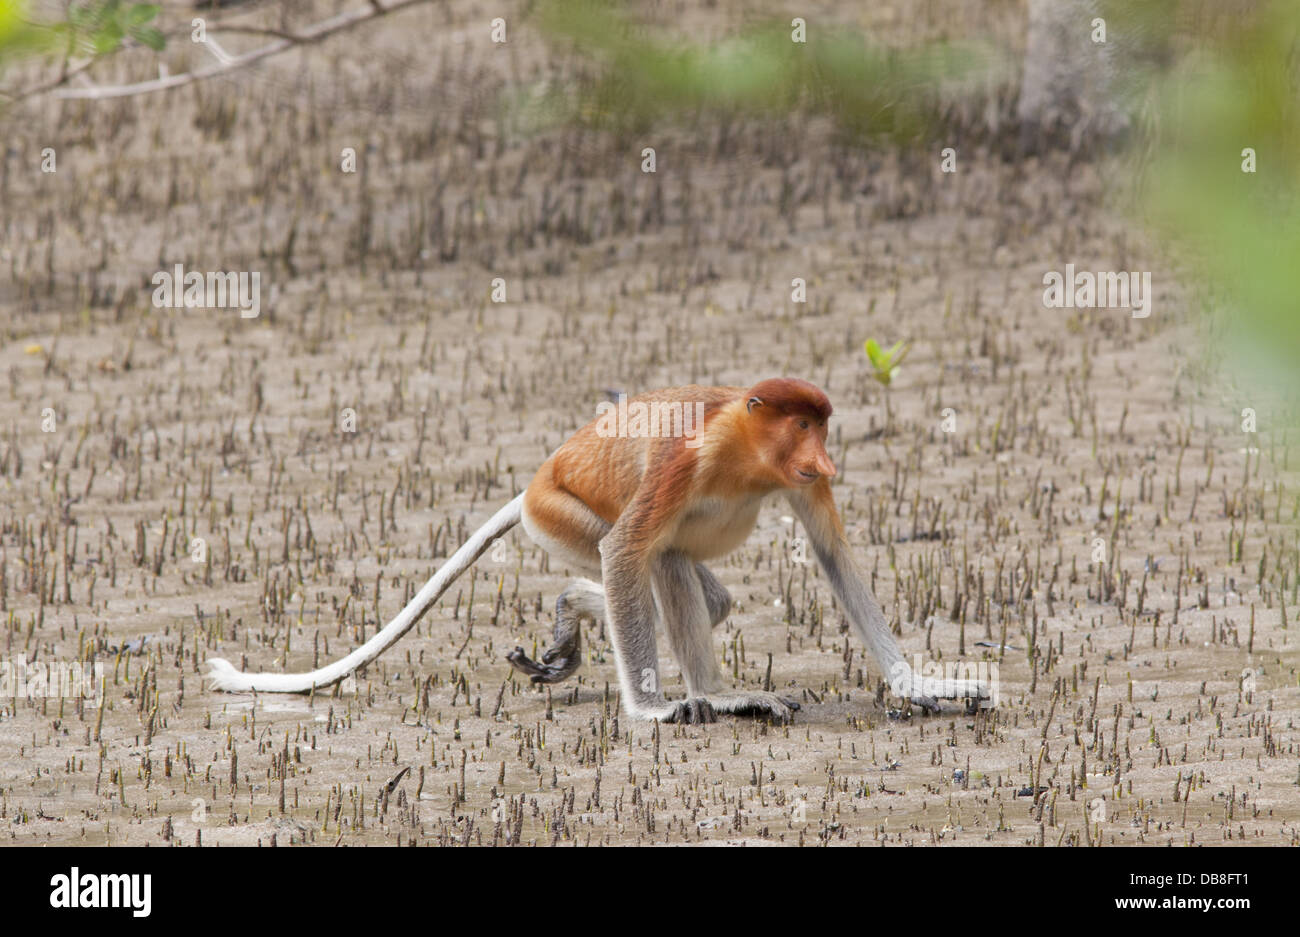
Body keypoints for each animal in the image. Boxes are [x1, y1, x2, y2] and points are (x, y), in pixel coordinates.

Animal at [210, 379, 982, 722]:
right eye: (802, 425)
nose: (826, 460)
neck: (743, 449)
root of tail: (532, 485)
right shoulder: (683, 459)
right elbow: (627, 547)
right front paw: (655, 711)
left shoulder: (801, 485)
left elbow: (834, 557)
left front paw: (924, 684)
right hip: (559, 514)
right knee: (649, 558)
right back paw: (714, 695)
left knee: (693, 590)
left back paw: (573, 617)